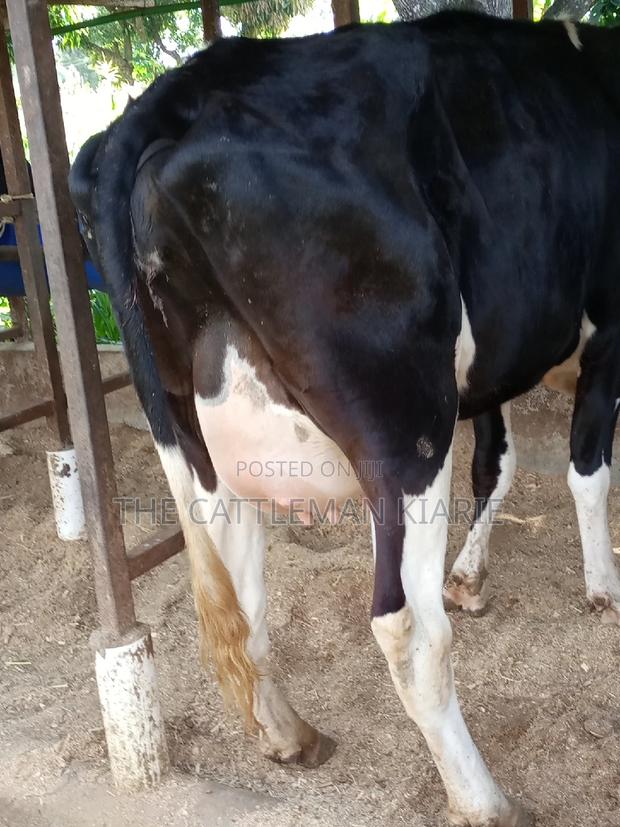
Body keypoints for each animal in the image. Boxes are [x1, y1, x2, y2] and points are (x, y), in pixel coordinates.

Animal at [69, 12, 620, 825]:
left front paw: (471, 574)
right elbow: (587, 468)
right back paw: (484, 797)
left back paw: (289, 735)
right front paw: (602, 585)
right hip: (406, 422)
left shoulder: (493, 366)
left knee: (239, 586)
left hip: (195, 439)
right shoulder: (609, 330)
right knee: (409, 628)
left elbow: (497, 462)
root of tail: (177, 92)